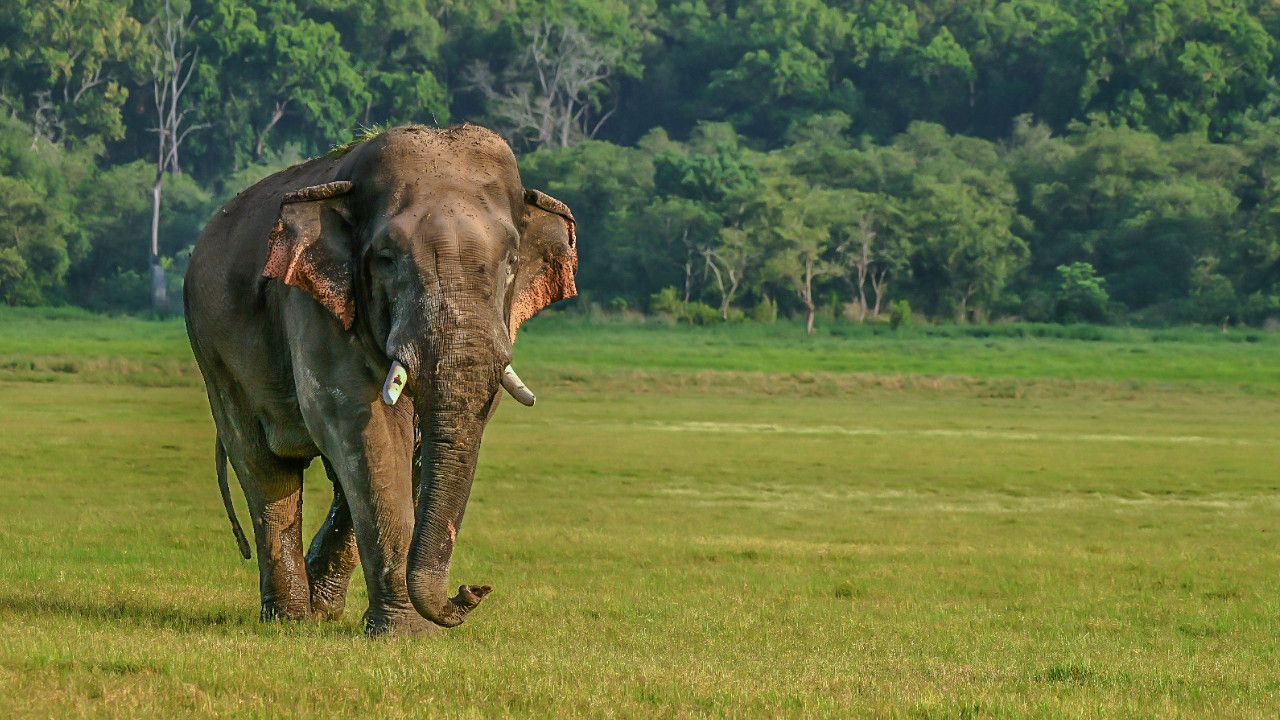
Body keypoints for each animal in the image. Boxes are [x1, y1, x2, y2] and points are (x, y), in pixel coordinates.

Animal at [183, 124, 578, 635]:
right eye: (387, 258)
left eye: (511, 262)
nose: (472, 591)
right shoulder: (316, 306)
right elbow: (363, 425)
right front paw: (407, 635)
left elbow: (422, 439)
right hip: (214, 354)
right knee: (265, 470)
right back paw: (290, 619)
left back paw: (321, 608)